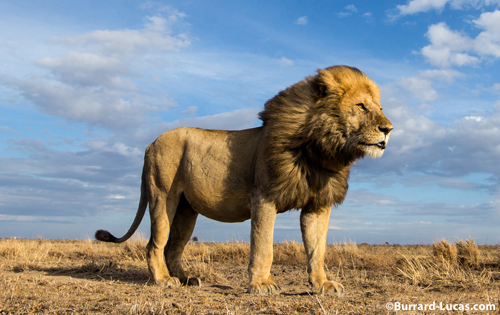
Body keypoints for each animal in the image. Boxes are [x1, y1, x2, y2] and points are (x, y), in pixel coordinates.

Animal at [95, 66, 392, 296]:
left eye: (380, 108)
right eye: (361, 106)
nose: (388, 129)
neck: (321, 149)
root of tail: (150, 143)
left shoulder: (317, 205)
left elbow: (317, 250)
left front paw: (322, 285)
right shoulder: (263, 197)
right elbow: (263, 245)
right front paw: (261, 284)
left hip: (186, 210)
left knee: (173, 246)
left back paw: (186, 279)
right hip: (162, 197)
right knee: (155, 244)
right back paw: (164, 280)